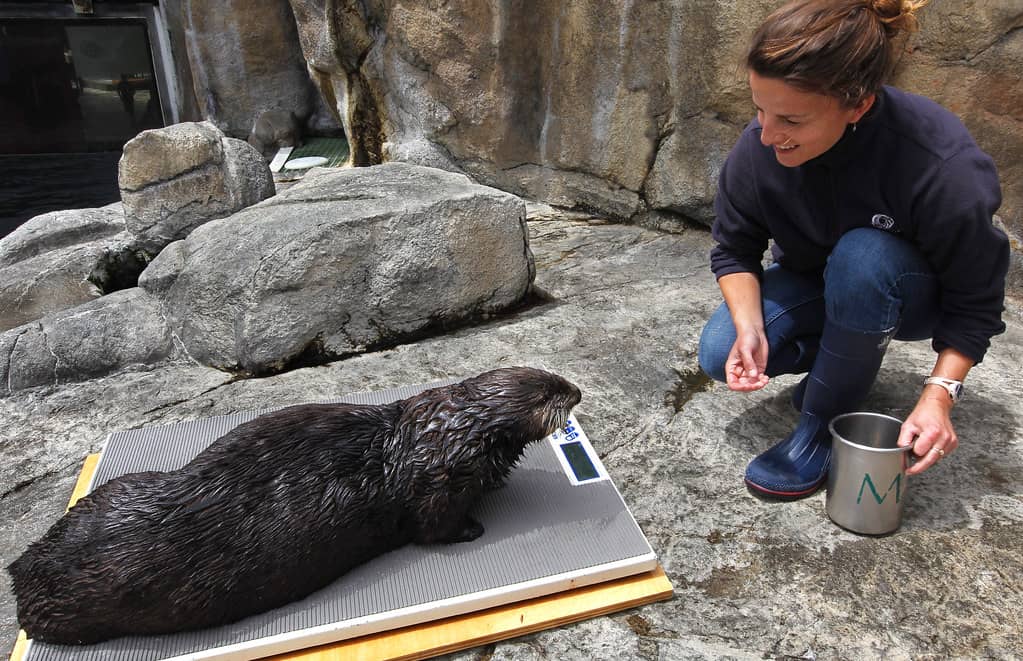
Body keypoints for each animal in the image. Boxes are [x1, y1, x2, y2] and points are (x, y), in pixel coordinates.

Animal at [8, 367, 581, 645]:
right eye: (550, 391)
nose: (576, 391)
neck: (447, 427)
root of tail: (24, 570)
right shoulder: (440, 486)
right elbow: (435, 526)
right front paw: (474, 528)